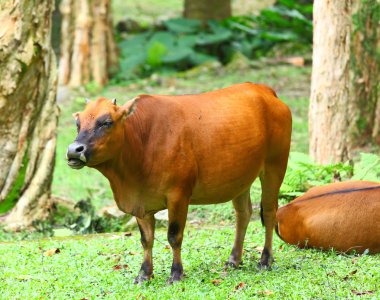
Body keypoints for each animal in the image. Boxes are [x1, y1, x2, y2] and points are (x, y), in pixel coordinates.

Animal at [66, 82, 290, 284]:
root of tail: (265, 91)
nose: (73, 150)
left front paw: (176, 274)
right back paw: (234, 260)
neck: (143, 143)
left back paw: (265, 260)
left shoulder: (179, 195)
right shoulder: (142, 204)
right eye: (78, 124)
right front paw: (144, 274)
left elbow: (174, 236)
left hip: (275, 166)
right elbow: (146, 240)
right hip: (241, 179)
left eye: (106, 122)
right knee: (243, 214)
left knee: (269, 212)